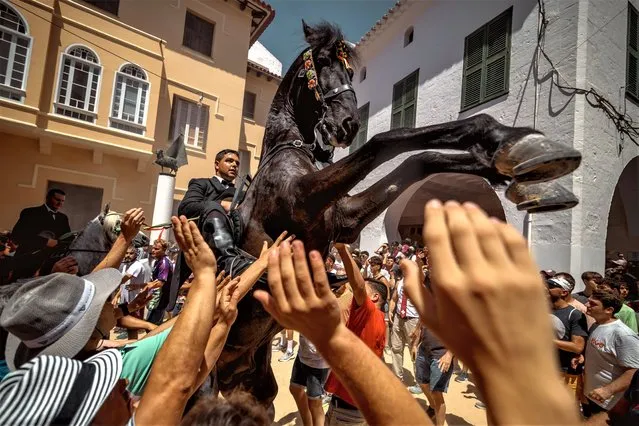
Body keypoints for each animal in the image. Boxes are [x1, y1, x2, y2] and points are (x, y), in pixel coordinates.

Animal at [212, 21, 584, 412]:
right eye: (324, 61)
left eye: (350, 72)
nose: (348, 124)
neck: (289, 148)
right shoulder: (305, 200)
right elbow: (387, 140)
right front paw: (506, 149)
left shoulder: (343, 219)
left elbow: (418, 159)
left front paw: (512, 153)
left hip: (249, 378)